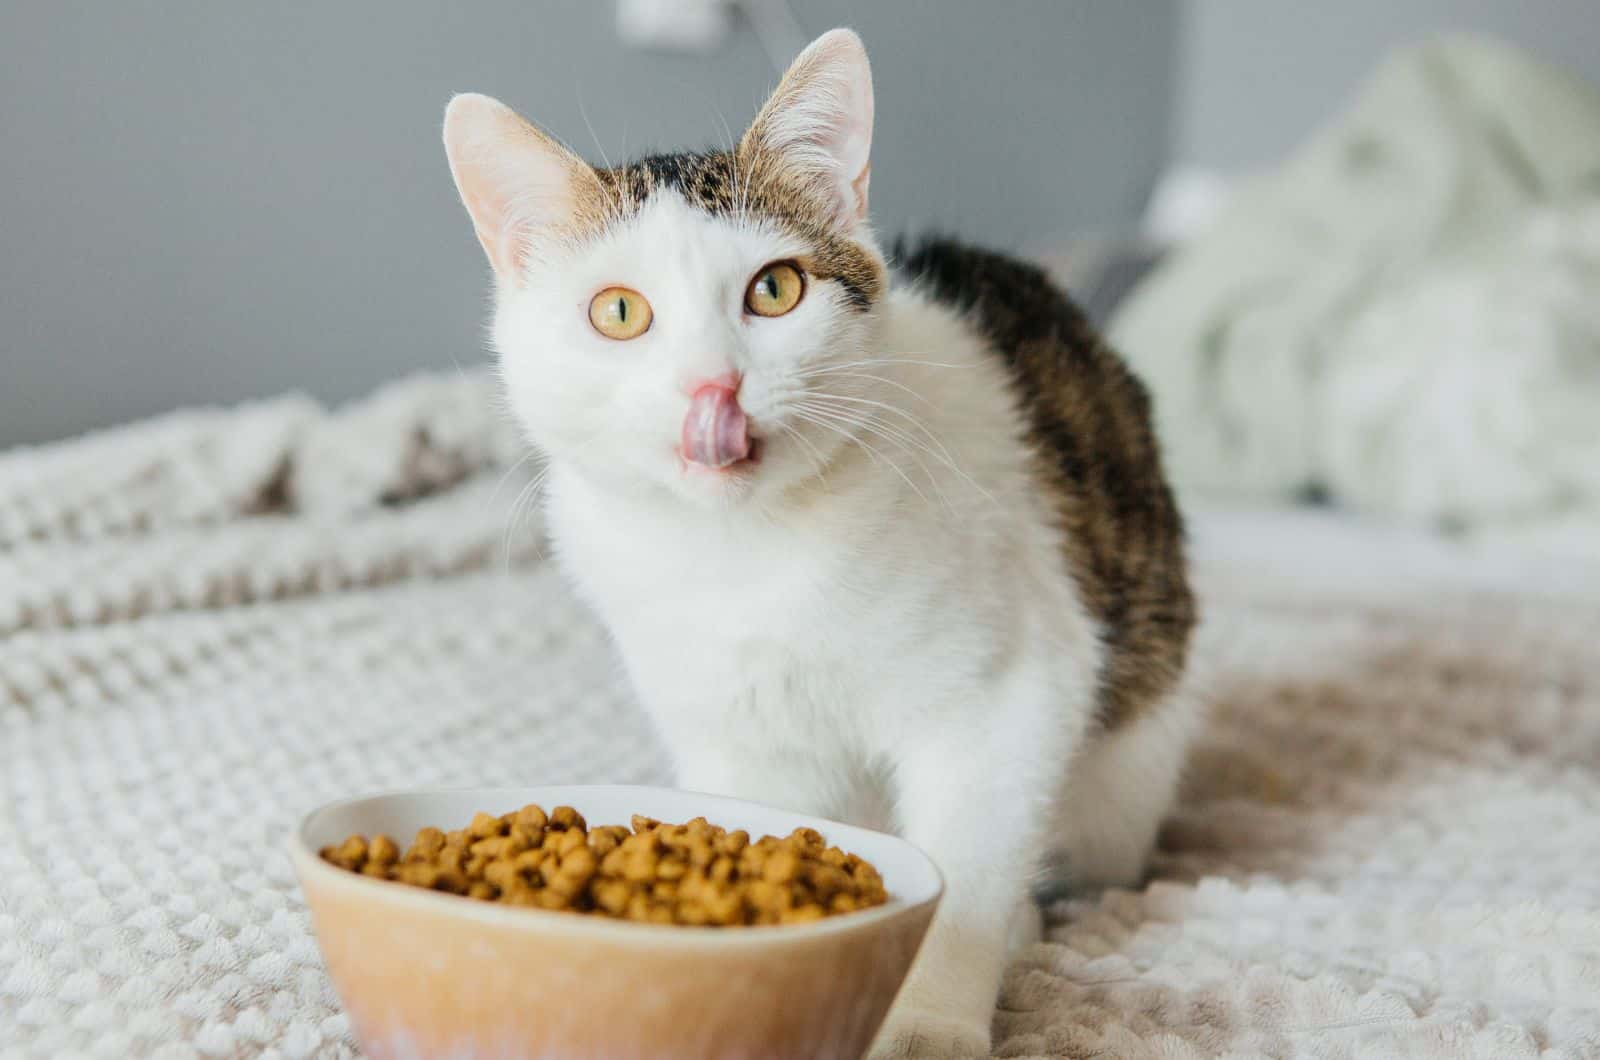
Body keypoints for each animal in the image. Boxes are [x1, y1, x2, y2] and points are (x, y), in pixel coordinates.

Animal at [444, 27, 1196, 1060]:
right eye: (619, 312)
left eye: (776, 289)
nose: (713, 387)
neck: (750, 554)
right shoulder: (740, 740)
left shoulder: (1013, 687)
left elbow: (969, 859)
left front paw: (930, 1017)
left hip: (1130, 766)